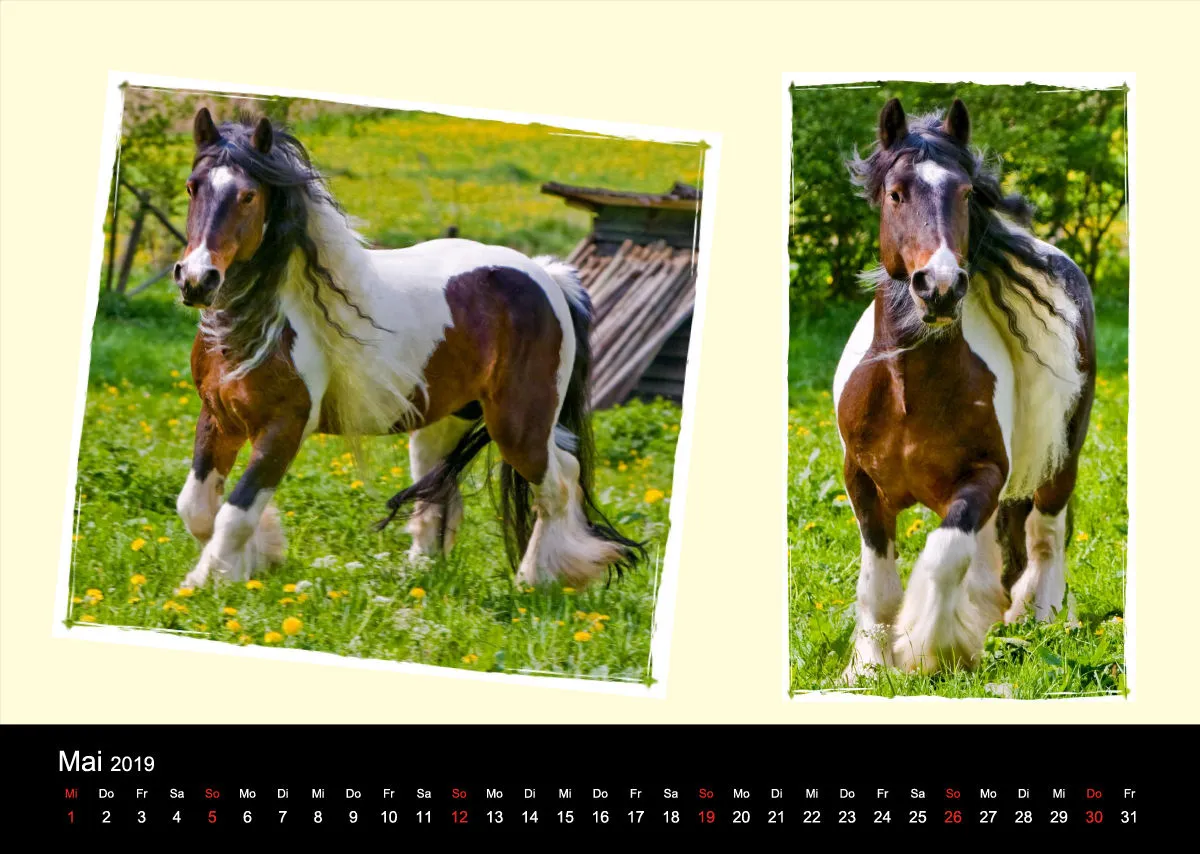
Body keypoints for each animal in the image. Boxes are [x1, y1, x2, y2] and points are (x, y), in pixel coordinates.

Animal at [171, 108, 642, 590]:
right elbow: (197, 507)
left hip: (519, 426)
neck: (254, 327)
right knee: (443, 491)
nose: (197, 280)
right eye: (192, 186)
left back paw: (537, 580)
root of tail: (547, 276)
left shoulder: (284, 428)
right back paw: (421, 574)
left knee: (560, 481)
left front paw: (206, 580)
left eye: (248, 195)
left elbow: (236, 512)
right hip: (444, 422)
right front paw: (254, 561)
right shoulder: (220, 416)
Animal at [831, 98, 1096, 683]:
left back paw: (1038, 617)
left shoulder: (985, 476)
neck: (907, 392)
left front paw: (933, 649)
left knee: (1044, 536)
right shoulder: (861, 481)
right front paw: (869, 667)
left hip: (1059, 459)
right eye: (896, 193)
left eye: (966, 192)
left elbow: (944, 555)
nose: (941, 286)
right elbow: (878, 583)